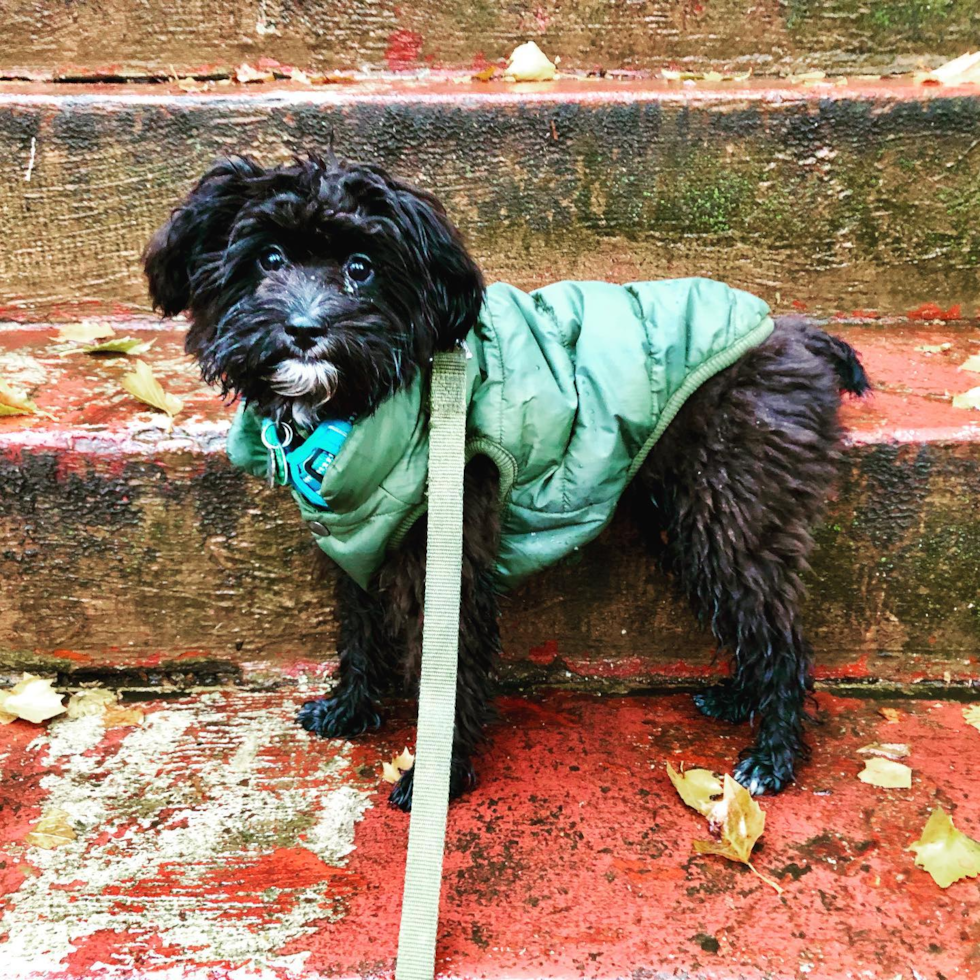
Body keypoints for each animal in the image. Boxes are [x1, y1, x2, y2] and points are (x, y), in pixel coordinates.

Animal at [144, 153, 864, 812]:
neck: (364, 404)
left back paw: (772, 755)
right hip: (688, 521)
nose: (304, 329)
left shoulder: (445, 548)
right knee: (749, 617)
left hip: (733, 510)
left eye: (361, 267)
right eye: (267, 259)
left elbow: (447, 665)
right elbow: (359, 629)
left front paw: (437, 777)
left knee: (779, 633)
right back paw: (738, 699)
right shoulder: (361, 537)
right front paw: (349, 709)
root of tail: (793, 334)